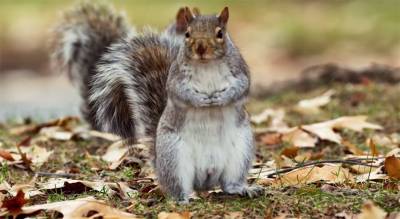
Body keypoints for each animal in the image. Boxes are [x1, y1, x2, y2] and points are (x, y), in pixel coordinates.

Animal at [50, 2, 262, 203]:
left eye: (220, 34)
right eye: (188, 34)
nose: (201, 48)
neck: (206, 65)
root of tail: (205, 181)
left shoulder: (240, 71)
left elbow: (242, 87)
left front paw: (221, 98)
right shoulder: (175, 79)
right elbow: (179, 93)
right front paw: (200, 100)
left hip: (240, 152)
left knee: (229, 183)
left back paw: (243, 189)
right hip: (174, 157)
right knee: (178, 186)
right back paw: (183, 199)